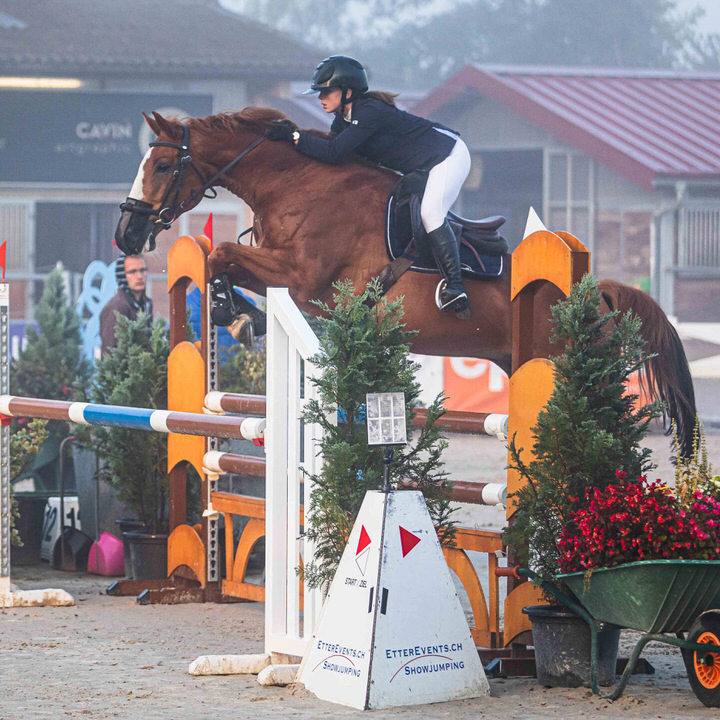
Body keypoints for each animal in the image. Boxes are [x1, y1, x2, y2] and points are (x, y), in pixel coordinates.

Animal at [114, 107, 696, 456]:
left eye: (161, 165)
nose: (126, 235)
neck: (297, 183)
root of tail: (594, 295)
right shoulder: (290, 279)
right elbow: (222, 262)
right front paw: (239, 316)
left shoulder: (301, 279)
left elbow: (222, 255)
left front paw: (236, 315)